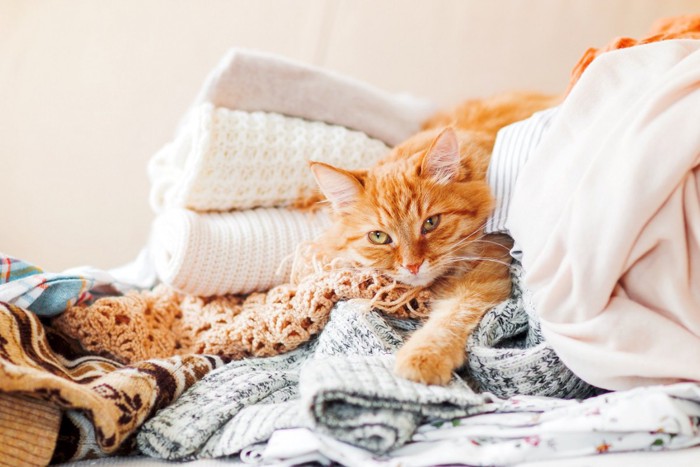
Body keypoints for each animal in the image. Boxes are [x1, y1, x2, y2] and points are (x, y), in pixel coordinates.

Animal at [308, 90, 560, 384]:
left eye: (430, 223)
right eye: (379, 237)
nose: (412, 265)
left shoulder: (485, 274)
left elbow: (450, 318)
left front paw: (422, 357)